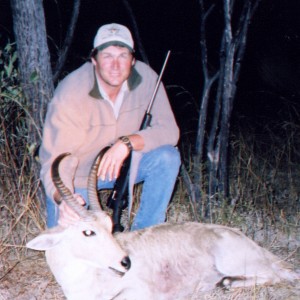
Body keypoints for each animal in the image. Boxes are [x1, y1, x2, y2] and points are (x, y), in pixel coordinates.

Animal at [27, 152, 298, 300]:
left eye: (109, 225)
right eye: (88, 231)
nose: (125, 262)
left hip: (234, 261)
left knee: (278, 275)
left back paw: (227, 283)